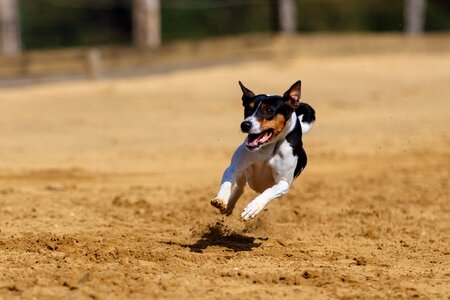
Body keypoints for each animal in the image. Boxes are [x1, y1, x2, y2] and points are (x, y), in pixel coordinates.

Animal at [210, 79, 312, 220]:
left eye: (268, 110)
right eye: (248, 108)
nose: (245, 124)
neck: (267, 148)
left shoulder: (284, 183)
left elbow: (270, 191)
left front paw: (253, 207)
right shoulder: (235, 167)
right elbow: (227, 181)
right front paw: (221, 199)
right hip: (243, 174)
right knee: (240, 188)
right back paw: (229, 204)